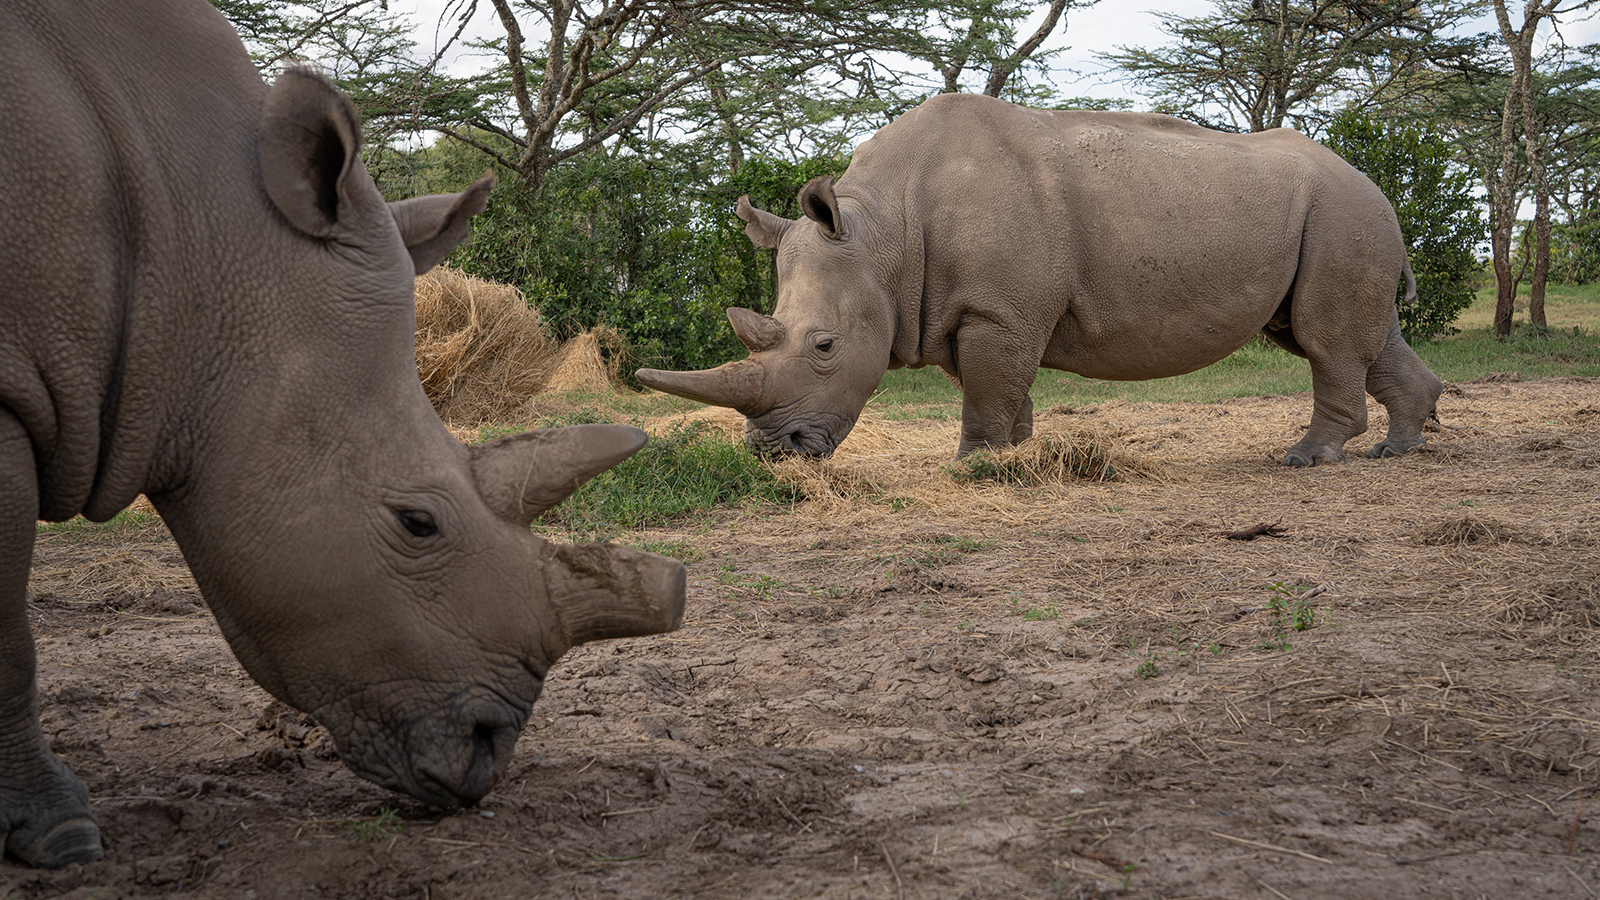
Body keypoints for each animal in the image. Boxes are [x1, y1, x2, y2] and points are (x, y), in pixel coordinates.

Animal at [638, 93, 1443, 466]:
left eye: (826, 347)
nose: (776, 452)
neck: (883, 235)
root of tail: (1373, 185)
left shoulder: (996, 308)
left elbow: (988, 387)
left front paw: (972, 465)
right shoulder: (970, 309)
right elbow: (996, 384)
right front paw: (1015, 454)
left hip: (1341, 210)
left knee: (1324, 339)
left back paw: (1308, 459)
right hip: (1340, 216)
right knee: (1350, 335)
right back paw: (1399, 449)